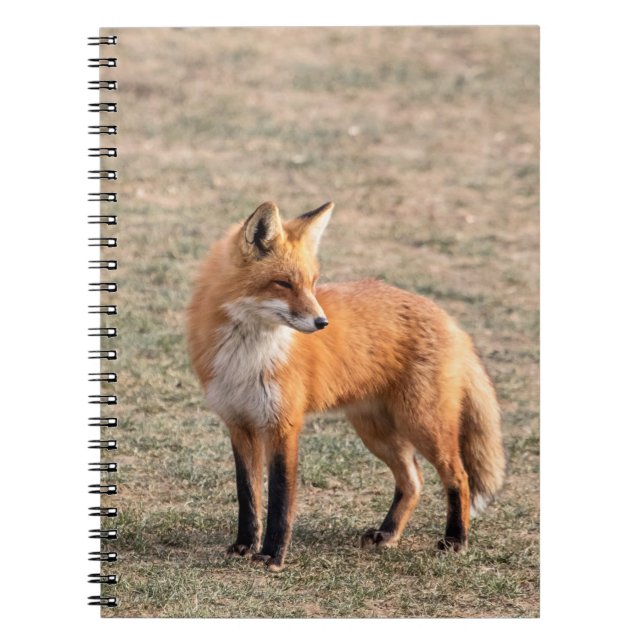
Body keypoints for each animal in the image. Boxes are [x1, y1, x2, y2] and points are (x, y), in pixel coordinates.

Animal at [187, 201, 504, 572]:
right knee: (413, 481)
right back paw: (388, 534)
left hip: (423, 424)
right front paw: (244, 545)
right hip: (376, 432)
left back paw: (455, 539)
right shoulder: (239, 424)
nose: (322, 322)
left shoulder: (284, 425)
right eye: (282, 283)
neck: (247, 355)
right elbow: (248, 494)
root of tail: (449, 318)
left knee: (459, 476)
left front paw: (273, 555)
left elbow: (280, 497)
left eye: (313, 283)